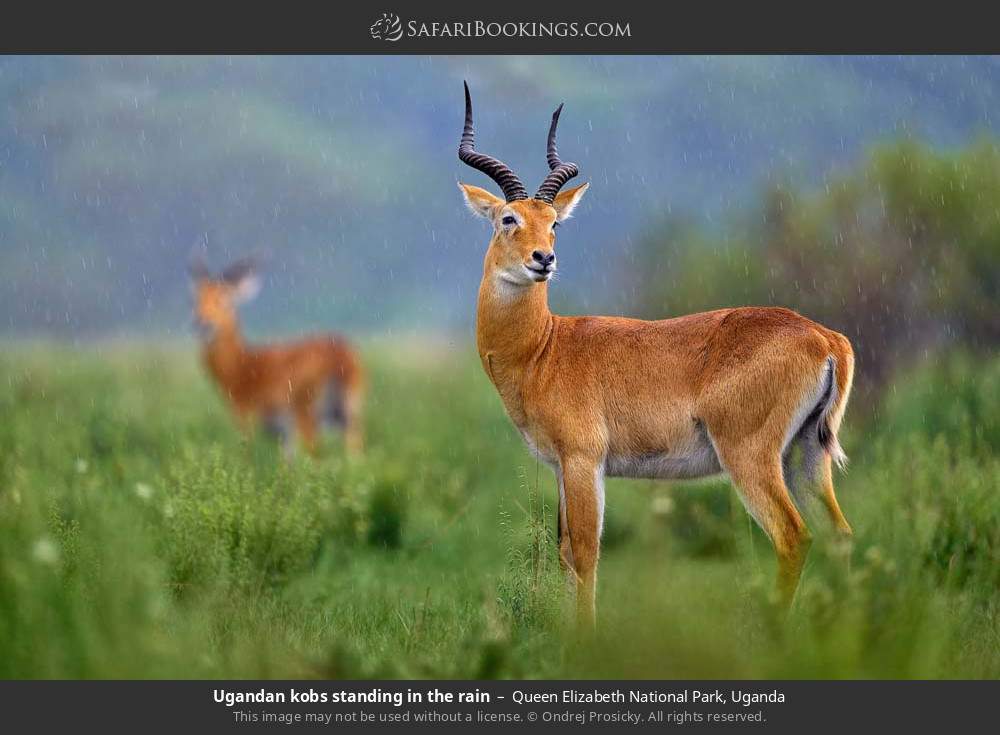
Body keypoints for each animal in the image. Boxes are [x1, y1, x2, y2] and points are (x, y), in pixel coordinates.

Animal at [189, 256, 366, 458]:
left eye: (223, 299)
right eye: (194, 300)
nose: (202, 323)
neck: (240, 366)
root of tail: (341, 355)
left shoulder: (246, 418)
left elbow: (247, 454)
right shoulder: (285, 435)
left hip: (307, 414)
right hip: (348, 413)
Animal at [458, 86, 856, 628]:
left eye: (554, 223)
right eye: (508, 218)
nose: (544, 259)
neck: (544, 348)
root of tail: (825, 338)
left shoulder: (583, 460)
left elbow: (585, 552)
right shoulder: (561, 466)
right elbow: (564, 552)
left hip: (751, 456)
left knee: (794, 536)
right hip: (806, 453)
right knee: (840, 537)